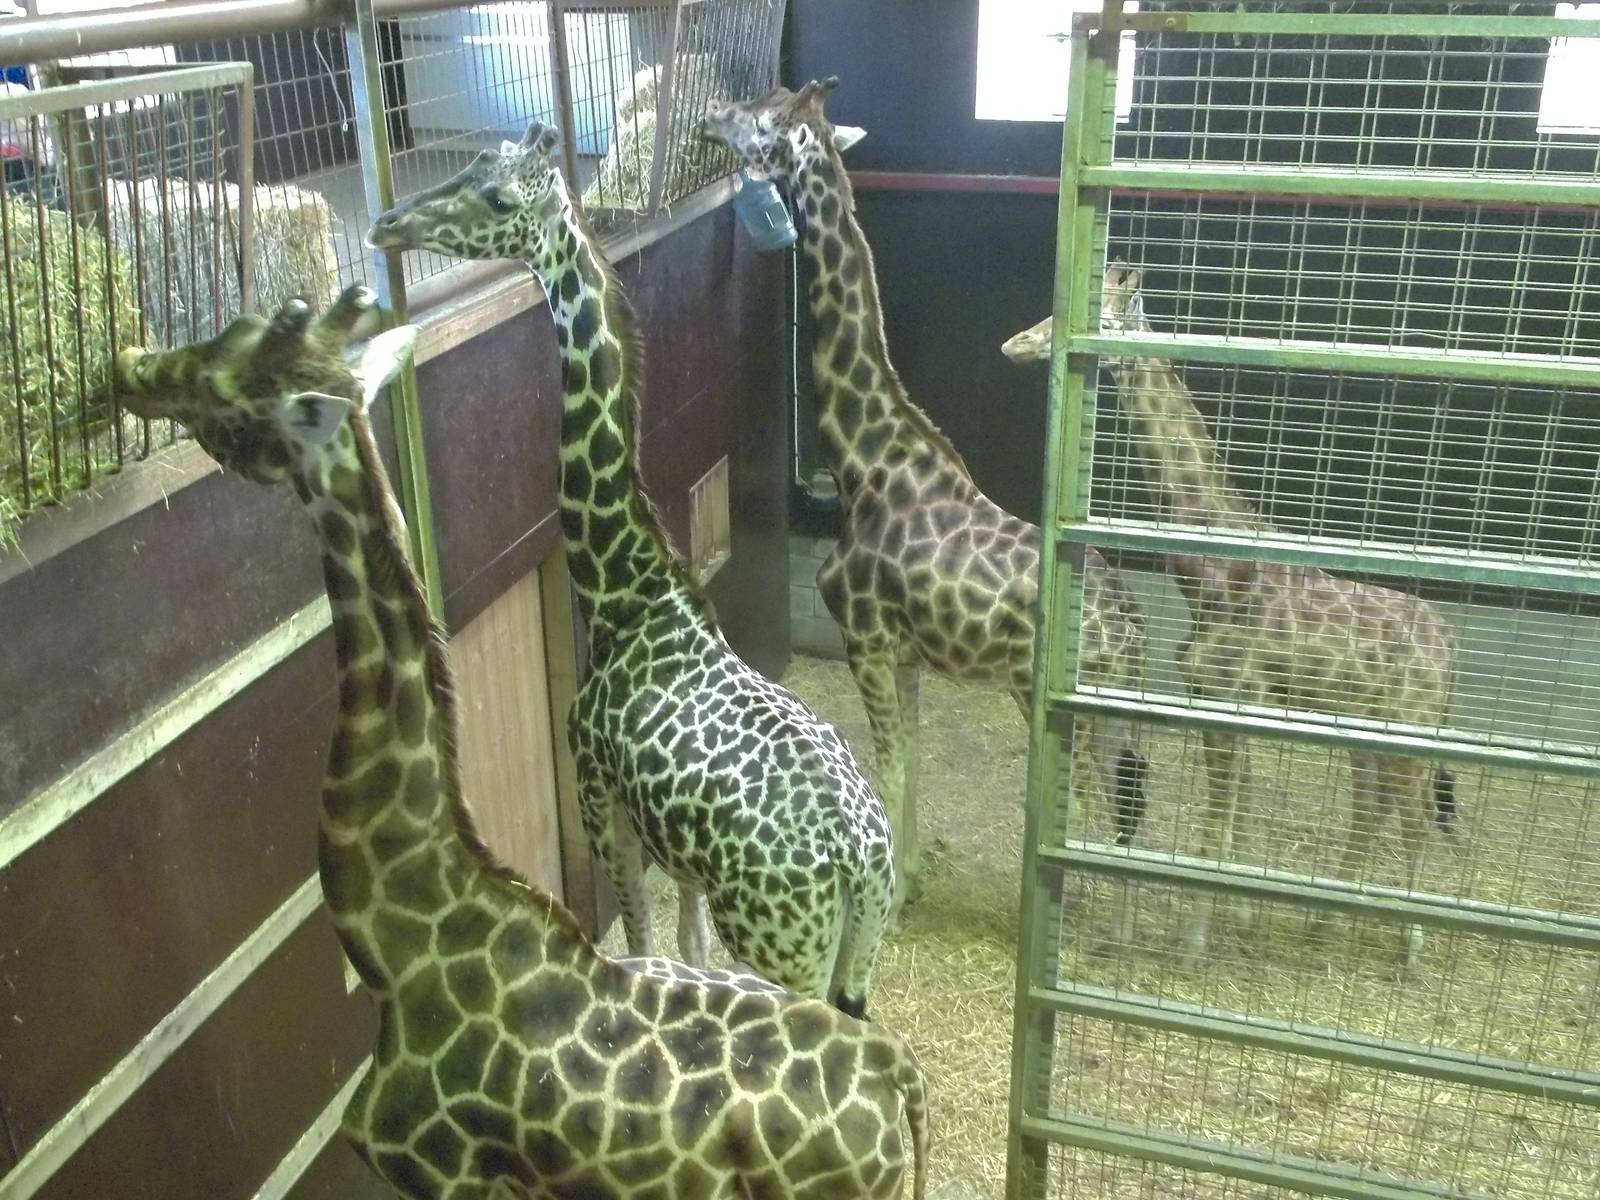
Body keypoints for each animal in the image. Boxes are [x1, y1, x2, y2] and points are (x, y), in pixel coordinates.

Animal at [366, 122, 896, 1015]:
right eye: (475, 161)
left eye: (499, 198)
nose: (387, 224)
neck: (626, 589)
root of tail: (860, 861)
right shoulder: (676, 850)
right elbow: (686, 943)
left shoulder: (595, 793)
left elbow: (645, 941)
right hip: (851, 965)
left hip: (785, 954)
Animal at [702, 78, 1154, 912]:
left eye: (762, 117)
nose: (710, 114)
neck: (866, 458)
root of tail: (1135, 632)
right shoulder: (905, 653)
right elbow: (910, 763)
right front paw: (908, 870)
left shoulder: (868, 639)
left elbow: (891, 764)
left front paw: (890, 895)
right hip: (1106, 706)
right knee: (1129, 798)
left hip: (1045, 699)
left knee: (1093, 802)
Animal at [1006, 263, 1460, 973]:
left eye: (1102, 317)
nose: (1017, 345)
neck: (1210, 575)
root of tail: (1453, 648)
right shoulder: (1216, 700)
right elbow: (1237, 809)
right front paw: (1238, 918)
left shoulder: (1228, 695)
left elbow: (1215, 822)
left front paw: (1196, 943)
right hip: (1366, 727)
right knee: (1373, 808)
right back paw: (1327, 925)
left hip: (1412, 724)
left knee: (1412, 817)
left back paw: (1408, 950)